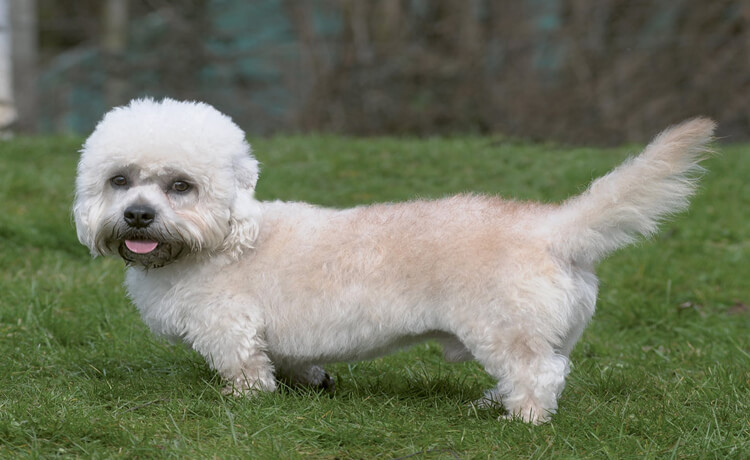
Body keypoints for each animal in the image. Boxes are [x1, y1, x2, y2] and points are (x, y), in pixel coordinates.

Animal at [75, 98, 716, 424]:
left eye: (180, 186)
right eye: (120, 180)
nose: (137, 216)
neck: (224, 236)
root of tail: (551, 226)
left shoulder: (228, 329)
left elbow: (245, 370)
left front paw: (245, 401)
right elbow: (293, 363)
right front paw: (310, 382)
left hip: (503, 330)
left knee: (540, 374)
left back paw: (522, 418)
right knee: (539, 369)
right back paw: (499, 402)